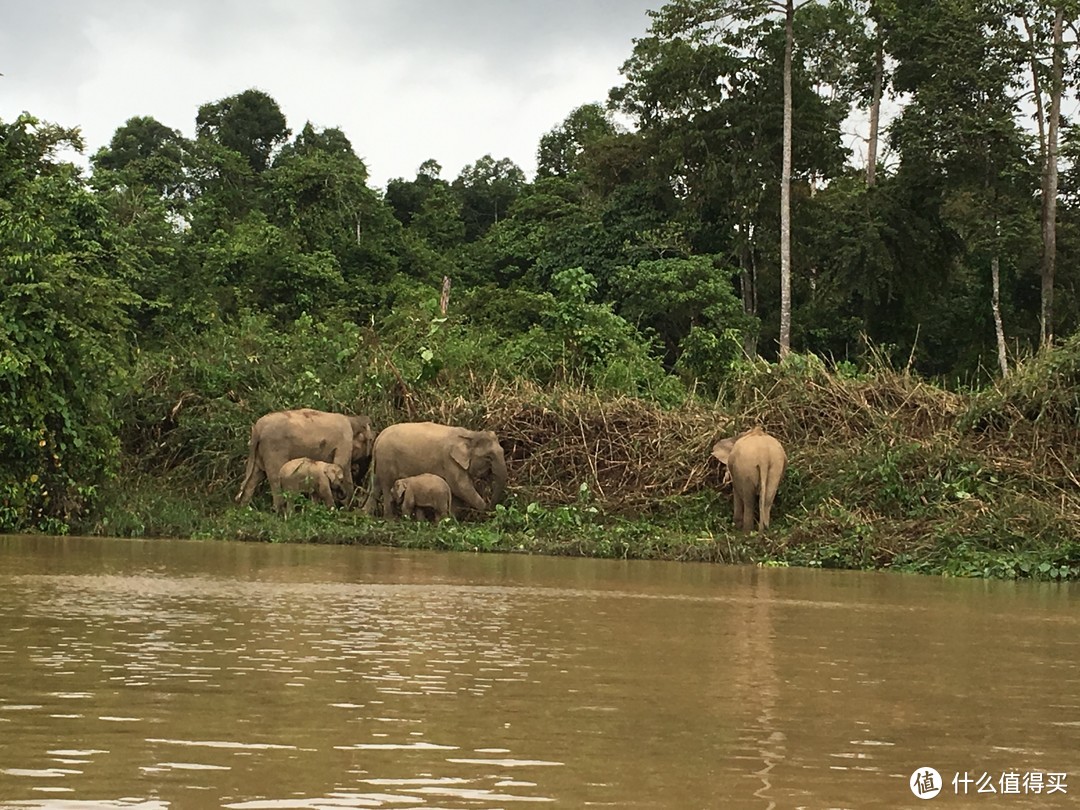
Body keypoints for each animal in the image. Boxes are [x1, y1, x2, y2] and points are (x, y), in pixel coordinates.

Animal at [236, 408, 375, 516]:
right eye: (371, 440)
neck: (352, 419)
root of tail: (257, 429)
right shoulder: (345, 441)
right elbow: (343, 466)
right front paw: (346, 508)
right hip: (273, 448)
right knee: (274, 477)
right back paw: (279, 511)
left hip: (259, 452)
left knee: (254, 477)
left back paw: (244, 509)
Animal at [367, 425, 505, 520]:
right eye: (489, 457)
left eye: (503, 451)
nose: (492, 508)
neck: (470, 434)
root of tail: (379, 437)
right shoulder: (449, 461)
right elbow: (461, 487)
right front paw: (485, 512)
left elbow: (457, 492)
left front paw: (452, 520)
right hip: (387, 460)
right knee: (386, 487)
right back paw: (390, 520)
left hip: (380, 463)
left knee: (375, 487)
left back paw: (365, 515)